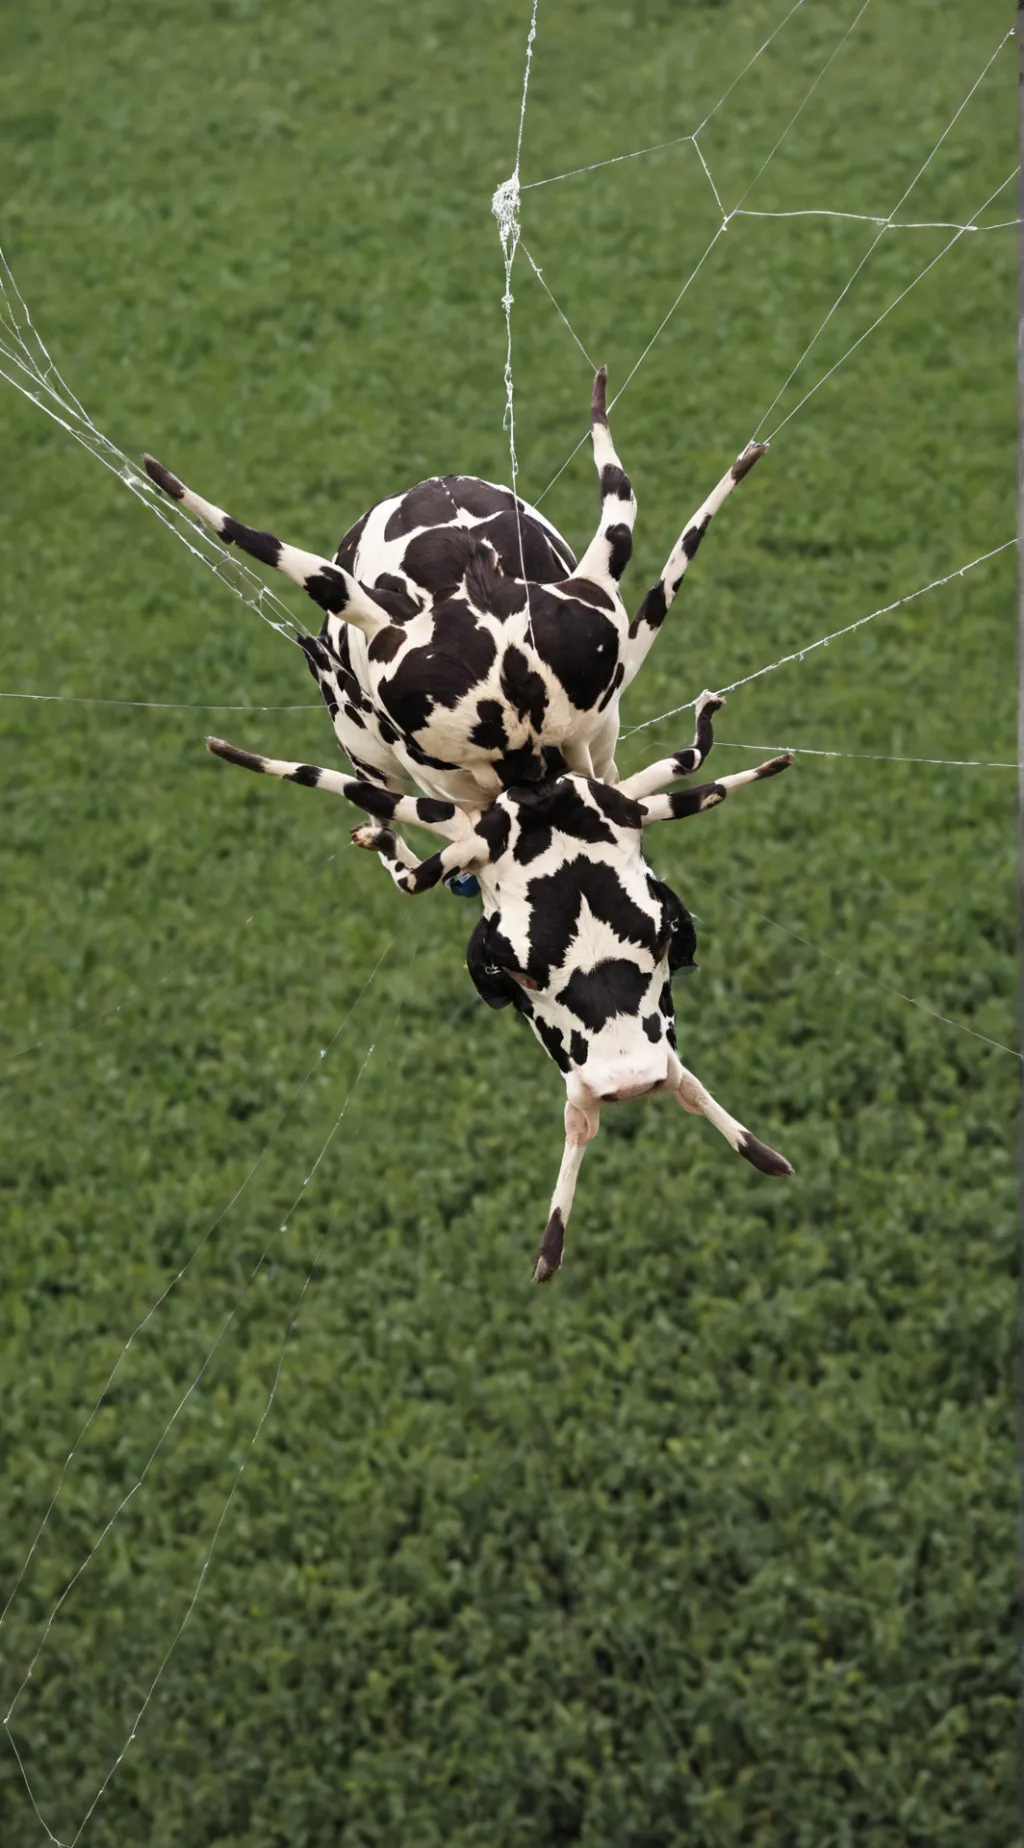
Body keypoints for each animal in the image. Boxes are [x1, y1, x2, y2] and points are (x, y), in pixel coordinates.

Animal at [204, 693, 795, 1283]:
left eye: (672, 933)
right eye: (510, 971)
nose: (628, 1083)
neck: (540, 794)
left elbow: (696, 773)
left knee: (639, 1103)